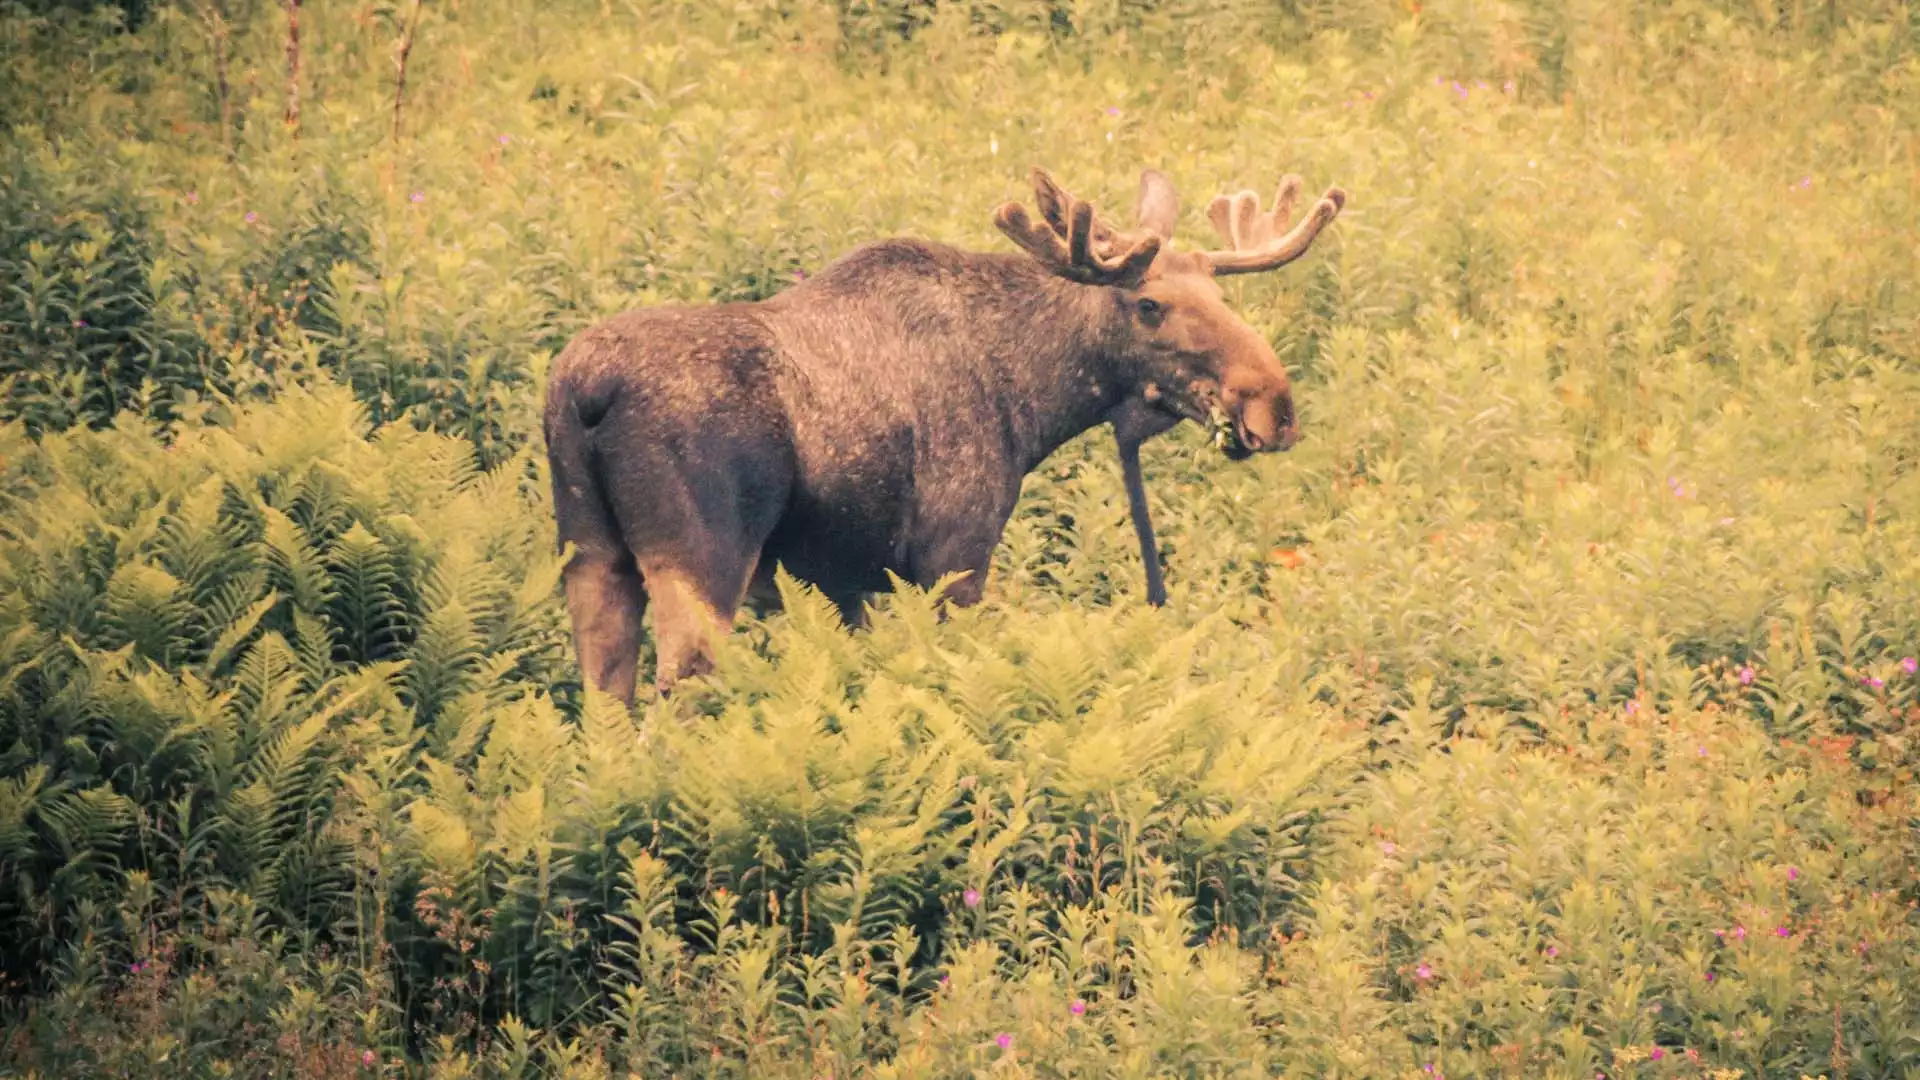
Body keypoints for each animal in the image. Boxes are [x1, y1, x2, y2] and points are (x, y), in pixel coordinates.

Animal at [549, 159, 1344, 699]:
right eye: (1149, 305)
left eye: (1218, 292)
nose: (1274, 405)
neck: (1032, 399)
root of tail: (582, 390)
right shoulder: (953, 558)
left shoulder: (847, 583)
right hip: (703, 567)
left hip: (592, 560)